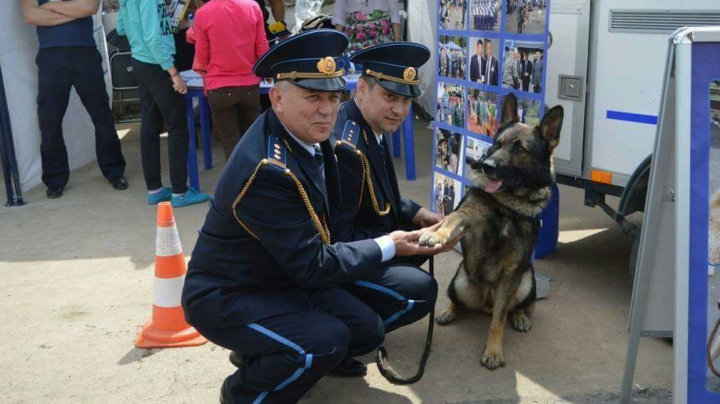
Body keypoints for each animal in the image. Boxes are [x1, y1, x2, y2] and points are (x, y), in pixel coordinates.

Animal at [420, 94, 564, 370]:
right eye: (497, 144)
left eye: (519, 149)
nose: (485, 165)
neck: (508, 205)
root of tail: (485, 302)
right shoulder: (469, 217)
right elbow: (451, 219)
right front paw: (436, 234)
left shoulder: (512, 273)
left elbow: (498, 321)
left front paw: (494, 351)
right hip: (460, 281)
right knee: (457, 299)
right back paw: (448, 311)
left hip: (526, 282)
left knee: (515, 307)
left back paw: (520, 316)